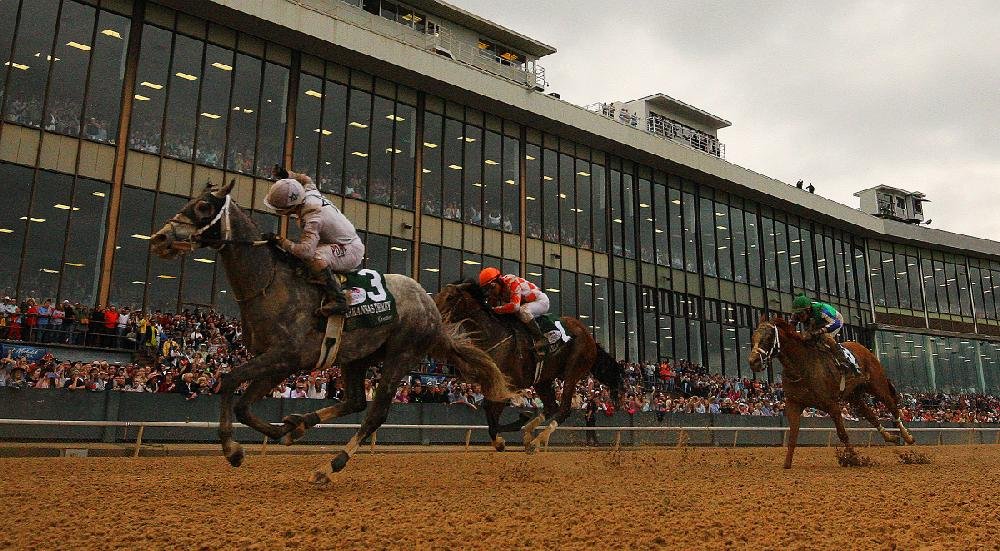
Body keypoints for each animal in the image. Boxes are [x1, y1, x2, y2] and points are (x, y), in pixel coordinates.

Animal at [149, 179, 512, 484]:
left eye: (202, 206)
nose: (159, 238)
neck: (270, 284)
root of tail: (432, 309)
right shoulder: (279, 362)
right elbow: (243, 404)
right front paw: (283, 431)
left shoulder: (285, 356)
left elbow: (228, 381)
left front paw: (233, 449)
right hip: (357, 357)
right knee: (355, 401)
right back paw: (301, 423)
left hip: (401, 355)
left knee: (375, 414)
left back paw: (330, 465)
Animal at [434, 281, 623, 452]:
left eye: (450, 297)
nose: (435, 315)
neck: (495, 336)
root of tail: (590, 337)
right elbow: (489, 411)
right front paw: (508, 433)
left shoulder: (509, 384)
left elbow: (491, 412)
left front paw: (507, 432)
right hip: (543, 380)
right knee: (551, 406)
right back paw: (528, 434)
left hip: (573, 370)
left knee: (563, 409)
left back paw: (536, 440)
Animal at [747, 316, 915, 468]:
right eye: (753, 337)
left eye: (768, 337)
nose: (752, 361)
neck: (801, 366)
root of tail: (865, 349)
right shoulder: (793, 404)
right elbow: (793, 435)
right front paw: (787, 463)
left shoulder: (832, 405)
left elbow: (842, 434)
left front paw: (854, 459)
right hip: (854, 396)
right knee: (871, 415)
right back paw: (891, 437)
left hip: (877, 386)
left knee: (892, 406)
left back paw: (907, 437)